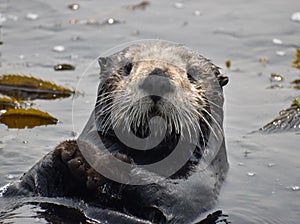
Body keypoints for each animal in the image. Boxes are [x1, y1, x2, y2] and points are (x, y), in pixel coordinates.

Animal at [2, 40, 229, 224]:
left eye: (191, 75)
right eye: (127, 67)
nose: (157, 79)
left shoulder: (200, 187)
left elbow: (172, 198)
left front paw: (108, 163)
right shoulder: (26, 188)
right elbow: (30, 183)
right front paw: (72, 154)